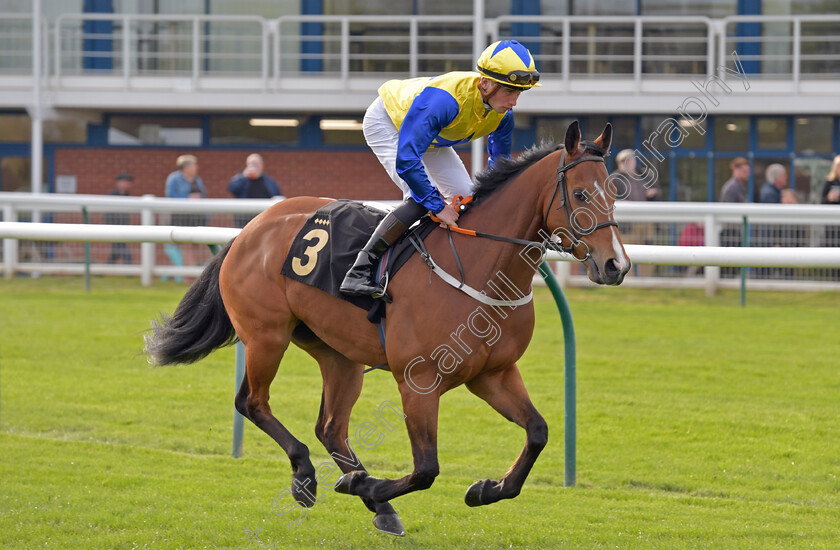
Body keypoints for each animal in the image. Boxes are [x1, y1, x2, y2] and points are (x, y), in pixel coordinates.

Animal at [146, 119, 632, 536]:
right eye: (581, 194)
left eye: (614, 192)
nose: (616, 265)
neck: (480, 268)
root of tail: (250, 228)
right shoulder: (418, 381)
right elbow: (426, 469)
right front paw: (366, 483)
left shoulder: (493, 374)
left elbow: (537, 432)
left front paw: (485, 490)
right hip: (267, 336)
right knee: (252, 402)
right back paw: (309, 476)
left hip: (337, 354)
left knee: (331, 428)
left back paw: (379, 506)